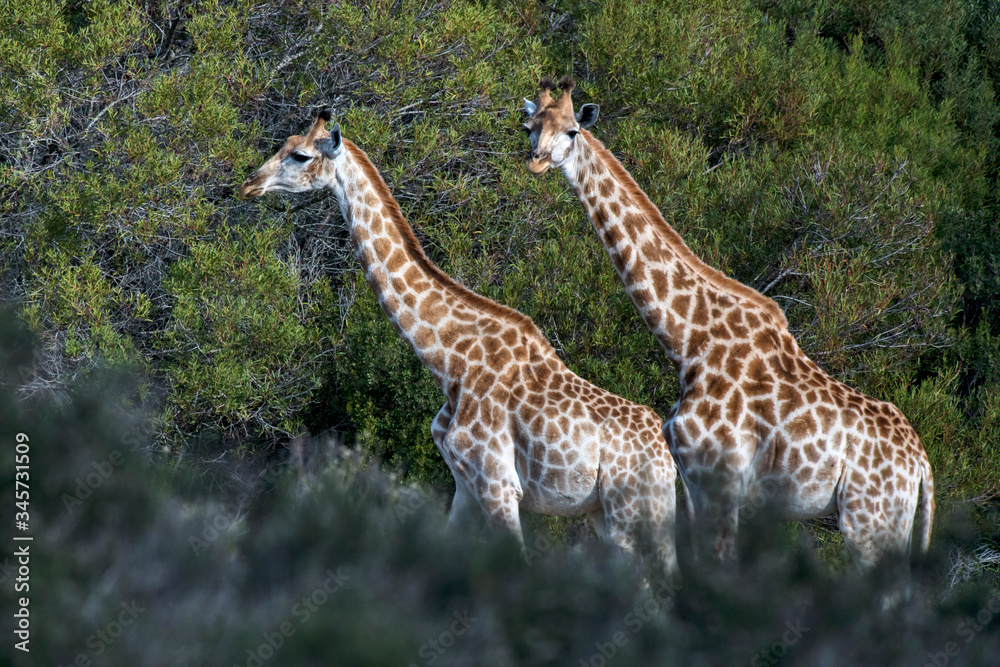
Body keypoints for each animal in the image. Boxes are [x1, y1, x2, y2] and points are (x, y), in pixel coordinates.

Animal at [240, 109, 678, 577]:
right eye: (284, 145)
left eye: (301, 155)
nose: (249, 183)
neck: (448, 362)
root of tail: (667, 460)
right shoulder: (464, 484)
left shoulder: (498, 484)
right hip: (611, 515)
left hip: (631, 510)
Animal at [521, 77, 934, 568]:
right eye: (529, 126)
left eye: (572, 131)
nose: (536, 160)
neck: (687, 341)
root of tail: (922, 466)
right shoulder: (693, 479)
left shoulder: (717, 475)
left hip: (870, 519)